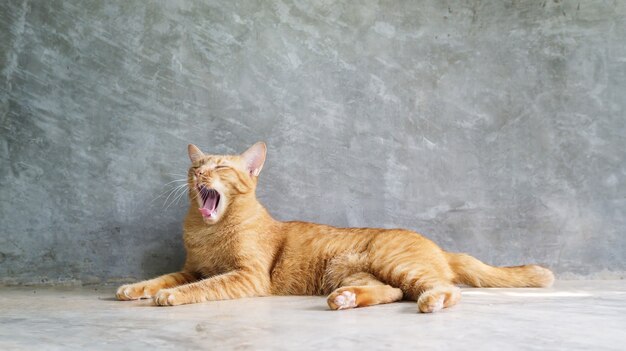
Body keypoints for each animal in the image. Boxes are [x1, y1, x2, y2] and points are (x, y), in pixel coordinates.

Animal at [116, 142, 552, 314]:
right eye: (196, 166)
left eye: (221, 166)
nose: (200, 174)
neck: (208, 231)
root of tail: (438, 246)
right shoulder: (192, 267)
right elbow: (163, 277)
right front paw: (134, 289)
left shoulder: (246, 276)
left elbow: (202, 287)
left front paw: (171, 298)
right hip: (353, 270)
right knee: (393, 292)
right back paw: (345, 300)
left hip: (393, 262)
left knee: (441, 289)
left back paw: (433, 301)